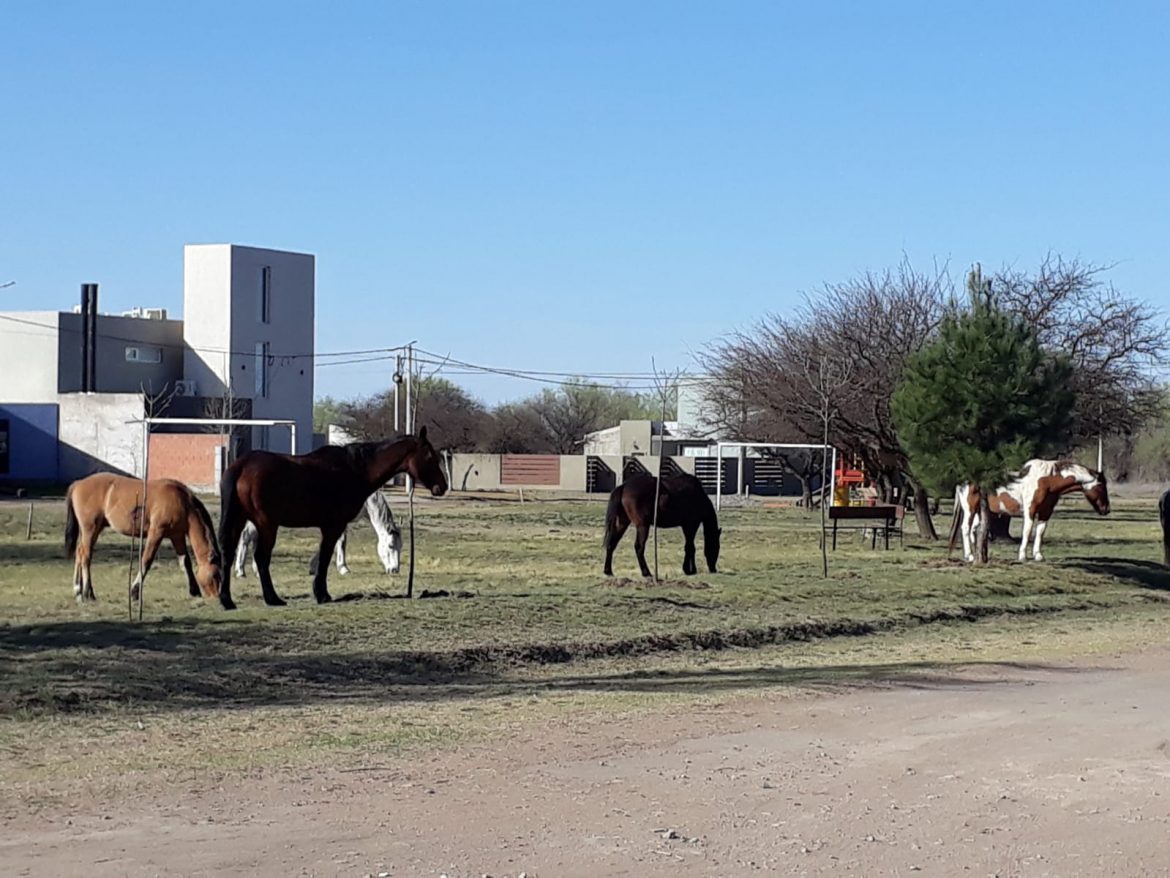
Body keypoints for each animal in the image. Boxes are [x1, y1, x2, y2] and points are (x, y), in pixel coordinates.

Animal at [64, 473, 223, 602]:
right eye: (215, 575)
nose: (217, 596)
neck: (182, 502)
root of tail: (78, 483)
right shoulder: (156, 532)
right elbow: (146, 560)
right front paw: (134, 591)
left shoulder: (177, 536)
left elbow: (185, 562)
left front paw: (194, 590)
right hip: (90, 529)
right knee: (86, 556)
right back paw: (88, 592)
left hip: (90, 531)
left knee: (79, 553)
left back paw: (78, 591)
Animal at [234, 490, 403, 578]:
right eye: (390, 545)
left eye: (400, 547)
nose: (395, 570)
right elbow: (341, 542)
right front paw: (343, 568)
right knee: (245, 537)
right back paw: (240, 570)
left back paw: (256, 570)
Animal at [948, 459, 1110, 563]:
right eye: (1101, 486)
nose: (1106, 509)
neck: (1046, 481)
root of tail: (963, 479)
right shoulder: (1030, 510)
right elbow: (1027, 531)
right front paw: (1022, 556)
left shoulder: (1046, 512)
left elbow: (1040, 531)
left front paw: (1038, 555)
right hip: (969, 510)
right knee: (965, 528)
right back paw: (969, 556)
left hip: (978, 511)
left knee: (973, 530)